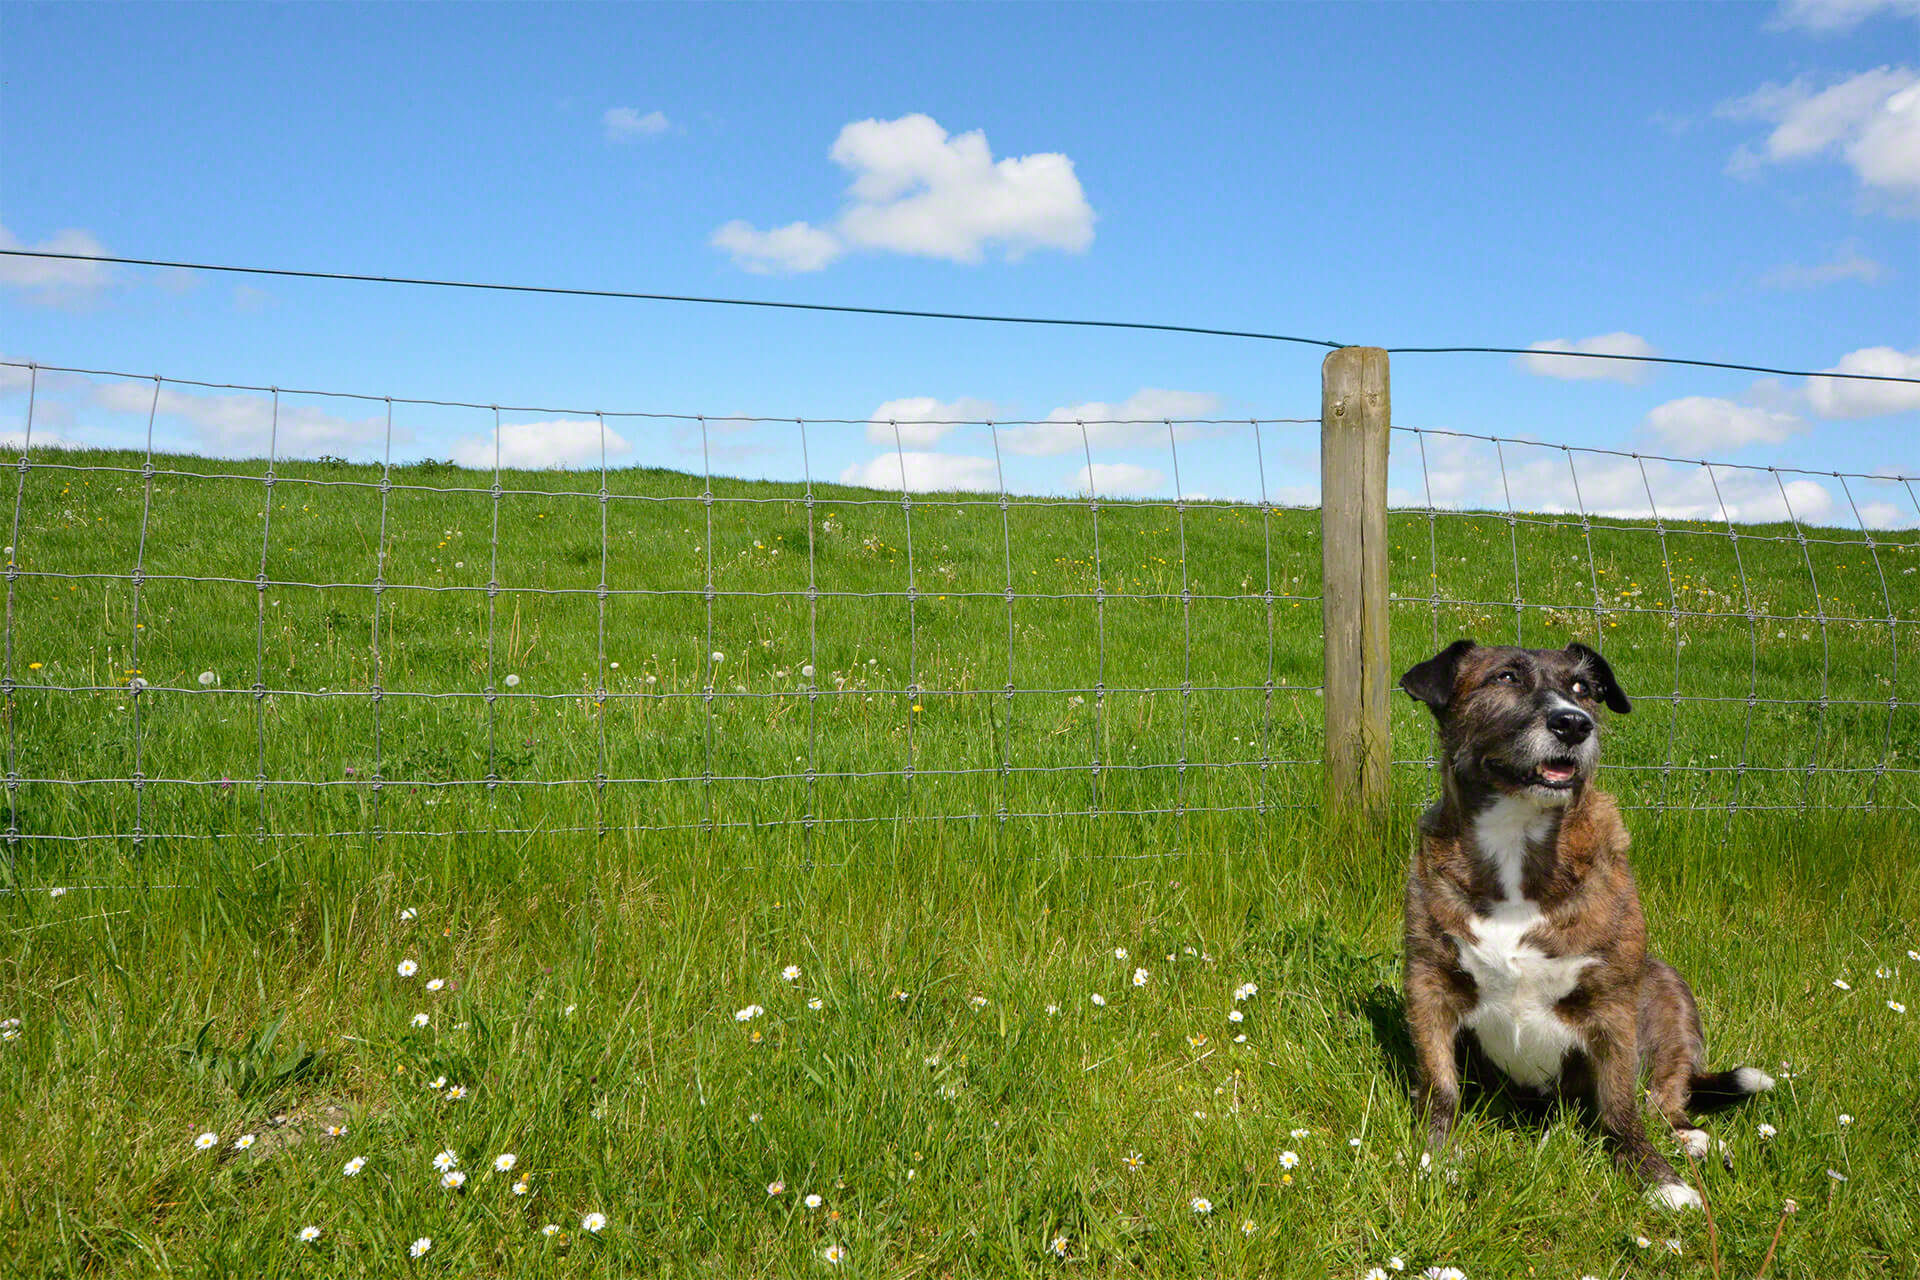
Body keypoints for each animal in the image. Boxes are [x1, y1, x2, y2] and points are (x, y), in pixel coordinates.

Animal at [1397, 640, 1766, 1212]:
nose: (1573, 723)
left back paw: (1691, 1139)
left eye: (1584, 688)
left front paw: (1657, 1179)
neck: (1517, 838)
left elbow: (1619, 1109)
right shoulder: (1429, 985)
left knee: (1665, 1100)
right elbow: (1441, 1089)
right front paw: (1436, 1157)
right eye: (1505, 677)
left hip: (1667, 987)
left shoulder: (1611, 1007)